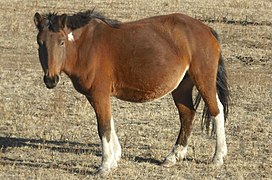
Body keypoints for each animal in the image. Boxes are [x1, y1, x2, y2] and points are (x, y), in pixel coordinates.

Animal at [34, 9, 230, 174]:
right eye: (40, 43)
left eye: (61, 42)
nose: (51, 80)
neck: (86, 46)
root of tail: (206, 29)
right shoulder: (95, 96)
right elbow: (109, 122)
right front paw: (115, 158)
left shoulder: (99, 95)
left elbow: (103, 126)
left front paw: (105, 165)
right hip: (182, 86)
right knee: (187, 114)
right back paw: (173, 156)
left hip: (203, 79)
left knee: (216, 111)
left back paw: (218, 157)